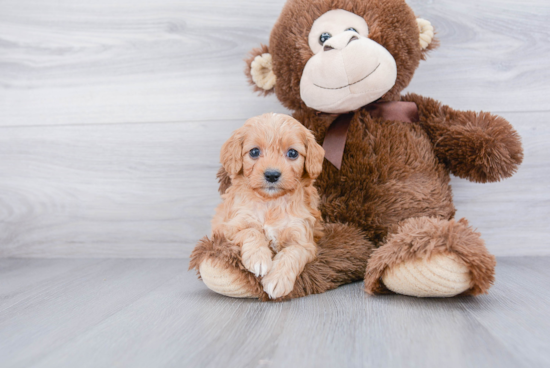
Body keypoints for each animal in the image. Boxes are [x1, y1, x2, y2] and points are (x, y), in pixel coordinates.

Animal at [210, 113, 324, 300]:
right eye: (254, 152)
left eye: (292, 153)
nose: (272, 175)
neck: (271, 203)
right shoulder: (227, 229)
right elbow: (251, 231)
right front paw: (259, 259)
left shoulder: (304, 241)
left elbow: (292, 253)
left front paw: (277, 279)